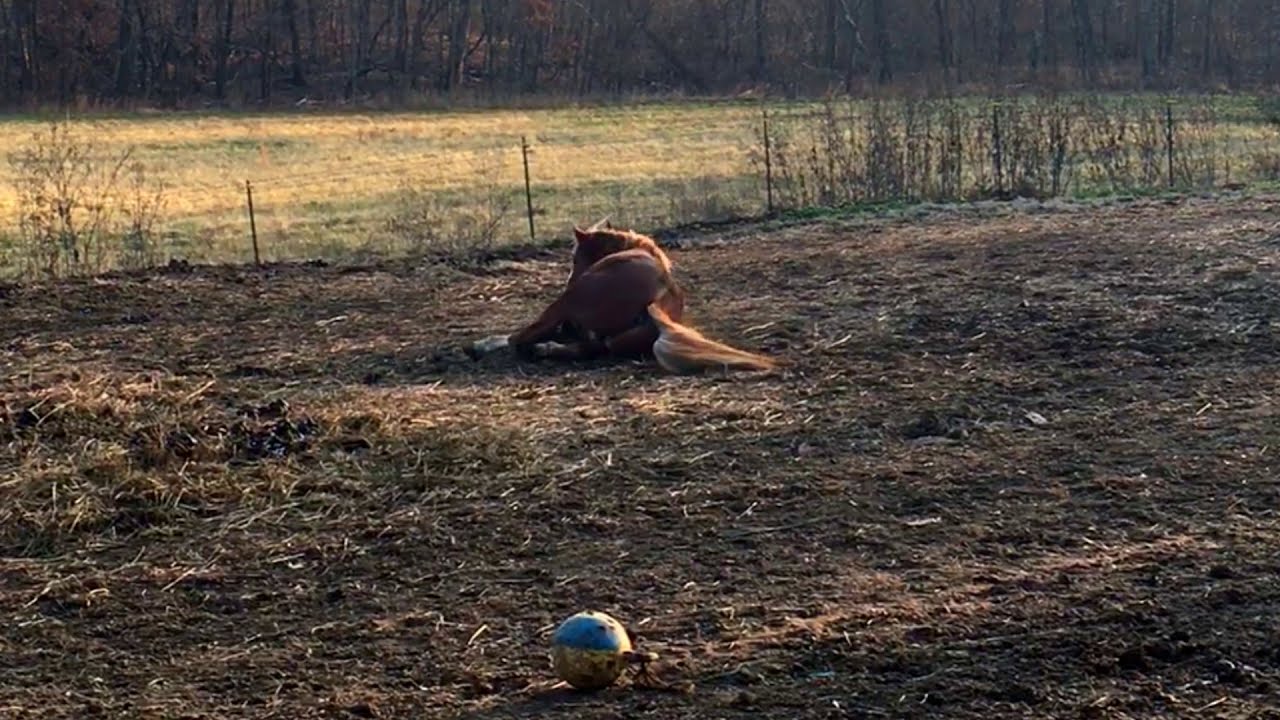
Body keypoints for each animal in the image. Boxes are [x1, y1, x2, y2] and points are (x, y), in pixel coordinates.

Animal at [468, 221, 776, 373]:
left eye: (575, 258)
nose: (571, 278)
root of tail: (658, 297)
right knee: (589, 349)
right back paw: (545, 349)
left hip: (566, 302)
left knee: (520, 339)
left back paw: (483, 346)